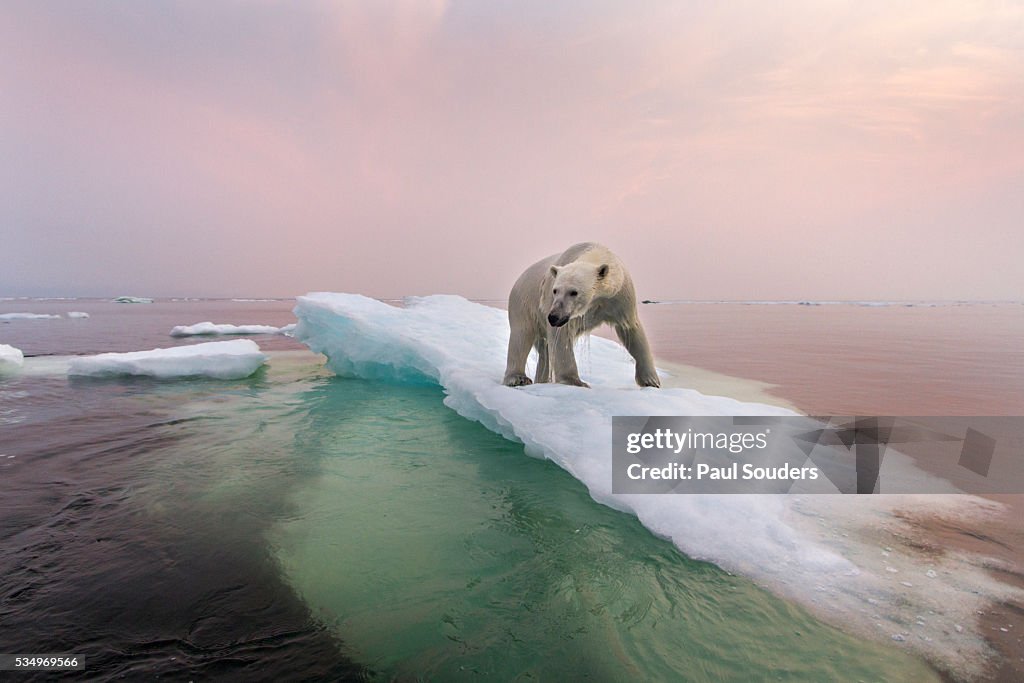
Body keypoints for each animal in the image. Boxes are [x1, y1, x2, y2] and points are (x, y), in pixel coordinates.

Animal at [501, 242, 659, 387]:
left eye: (574, 292)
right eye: (555, 290)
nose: (553, 317)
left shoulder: (619, 296)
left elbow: (631, 329)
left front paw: (651, 381)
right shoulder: (553, 304)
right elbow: (561, 337)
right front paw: (575, 381)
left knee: (544, 351)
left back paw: (542, 380)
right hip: (523, 304)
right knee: (521, 336)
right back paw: (518, 378)